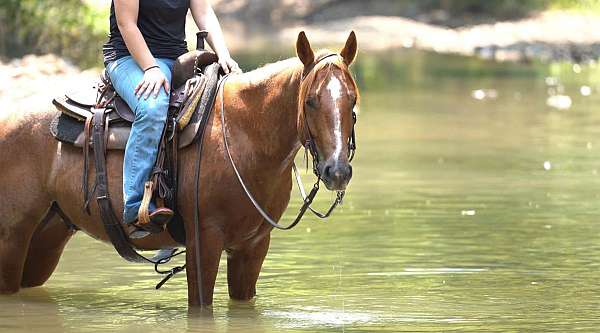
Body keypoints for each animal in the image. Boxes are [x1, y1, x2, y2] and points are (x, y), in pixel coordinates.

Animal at [0, 31, 358, 306]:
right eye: (311, 100)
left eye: (352, 100)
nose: (337, 171)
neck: (242, 133)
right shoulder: (204, 242)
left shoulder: (253, 247)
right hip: (11, 238)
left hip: (48, 235)